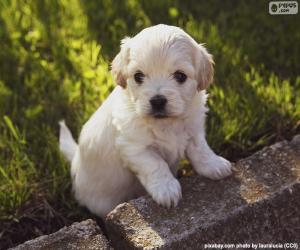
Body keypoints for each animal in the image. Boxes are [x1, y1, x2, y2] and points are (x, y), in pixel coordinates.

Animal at [58, 24, 232, 218]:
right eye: (138, 76)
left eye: (180, 76)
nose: (157, 101)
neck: (166, 123)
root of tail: (76, 160)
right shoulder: (134, 148)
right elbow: (156, 164)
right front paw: (167, 189)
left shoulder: (194, 129)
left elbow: (200, 150)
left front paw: (214, 165)